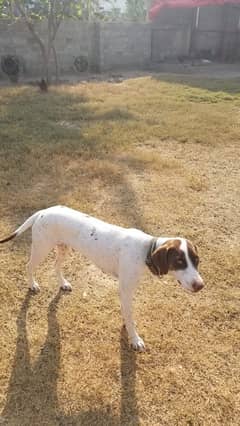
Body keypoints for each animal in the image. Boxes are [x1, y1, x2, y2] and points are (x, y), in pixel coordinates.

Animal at [0, 206, 203, 350]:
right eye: (179, 261)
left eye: (196, 260)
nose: (200, 285)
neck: (146, 250)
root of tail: (43, 211)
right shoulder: (125, 289)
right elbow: (130, 316)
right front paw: (134, 338)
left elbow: (127, 313)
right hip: (41, 249)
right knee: (29, 266)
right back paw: (32, 284)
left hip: (63, 248)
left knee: (56, 266)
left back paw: (63, 284)